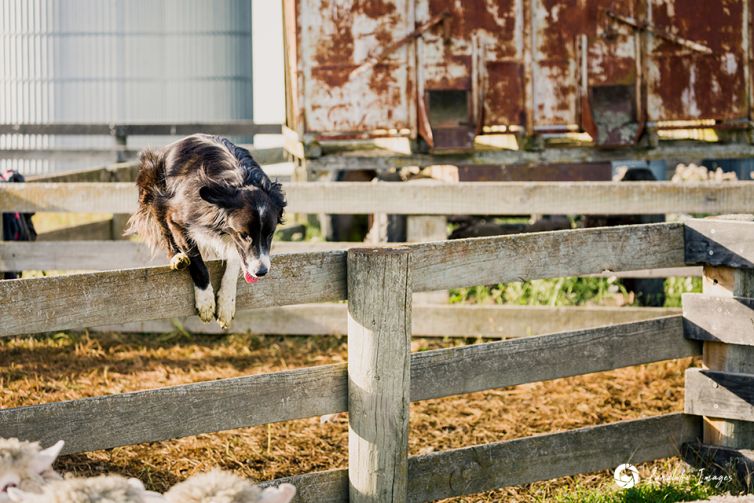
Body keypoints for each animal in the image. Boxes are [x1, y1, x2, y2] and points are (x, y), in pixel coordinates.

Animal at [126, 134, 284, 330]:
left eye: (270, 234)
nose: (261, 272)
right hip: (153, 187)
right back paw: (176, 257)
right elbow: (198, 263)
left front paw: (226, 304)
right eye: (244, 235)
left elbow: (235, 261)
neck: (239, 180)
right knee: (163, 228)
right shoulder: (177, 218)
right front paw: (206, 301)